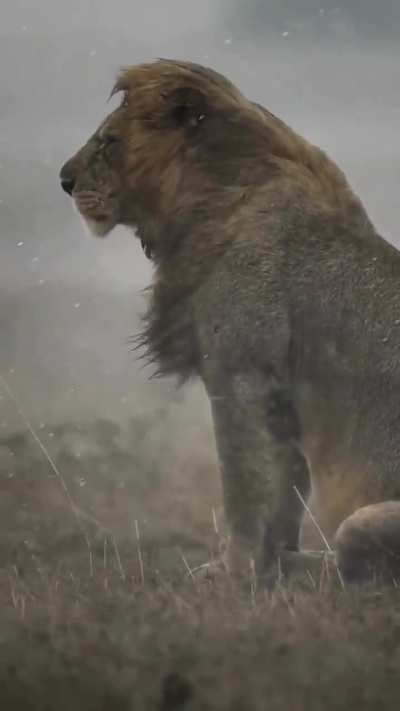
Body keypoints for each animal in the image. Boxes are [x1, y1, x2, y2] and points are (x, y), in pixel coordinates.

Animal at [60, 59, 400, 585]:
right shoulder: (273, 392)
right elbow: (283, 487)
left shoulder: (240, 371)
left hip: (364, 521)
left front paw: (234, 573)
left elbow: (244, 483)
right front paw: (269, 565)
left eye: (109, 141)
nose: (65, 180)